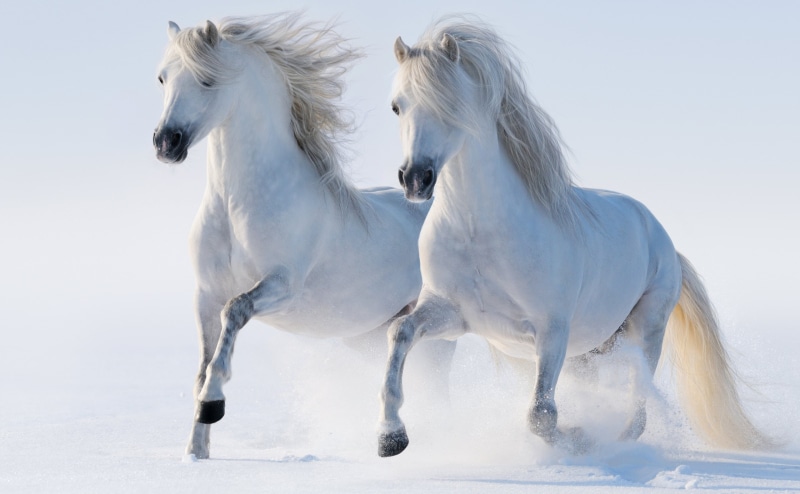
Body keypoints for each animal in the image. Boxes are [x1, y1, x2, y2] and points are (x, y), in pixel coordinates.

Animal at [152, 13, 454, 460]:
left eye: (207, 80)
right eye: (162, 78)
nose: (165, 143)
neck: (236, 205)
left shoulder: (282, 285)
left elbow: (235, 314)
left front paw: (213, 405)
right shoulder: (205, 294)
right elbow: (202, 366)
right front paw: (196, 452)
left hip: (438, 332)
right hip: (367, 336)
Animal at [377, 16, 772, 457]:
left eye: (450, 104)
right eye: (397, 106)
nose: (416, 179)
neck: (480, 232)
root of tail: (664, 240)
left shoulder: (552, 331)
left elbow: (541, 415)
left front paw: (579, 438)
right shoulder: (452, 314)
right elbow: (399, 332)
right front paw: (390, 436)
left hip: (645, 330)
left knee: (637, 407)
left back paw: (616, 442)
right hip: (590, 351)